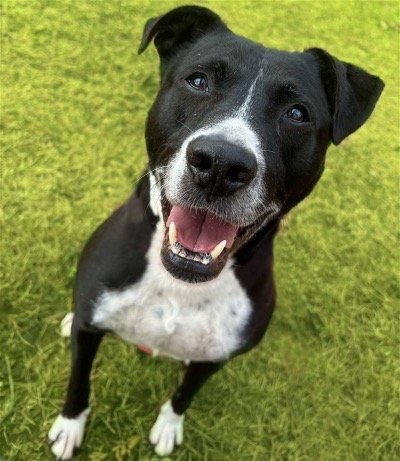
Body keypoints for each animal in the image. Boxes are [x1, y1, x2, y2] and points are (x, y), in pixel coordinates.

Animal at [47, 5, 384, 458]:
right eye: (198, 81)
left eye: (297, 113)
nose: (222, 164)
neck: (178, 283)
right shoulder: (90, 329)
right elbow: (78, 381)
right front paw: (70, 426)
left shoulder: (215, 358)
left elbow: (184, 395)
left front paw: (169, 425)